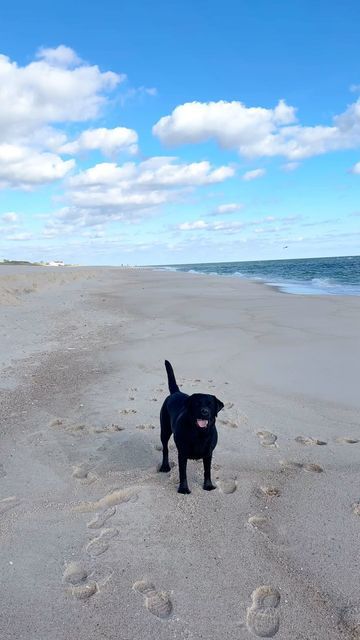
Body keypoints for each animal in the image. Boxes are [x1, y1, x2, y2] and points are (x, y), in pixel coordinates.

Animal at [159, 360, 224, 496]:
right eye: (197, 403)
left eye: (210, 404)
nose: (204, 412)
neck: (199, 433)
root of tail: (176, 392)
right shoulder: (182, 454)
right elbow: (183, 473)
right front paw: (183, 489)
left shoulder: (208, 454)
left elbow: (207, 471)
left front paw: (208, 486)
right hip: (164, 430)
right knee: (165, 449)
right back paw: (165, 466)